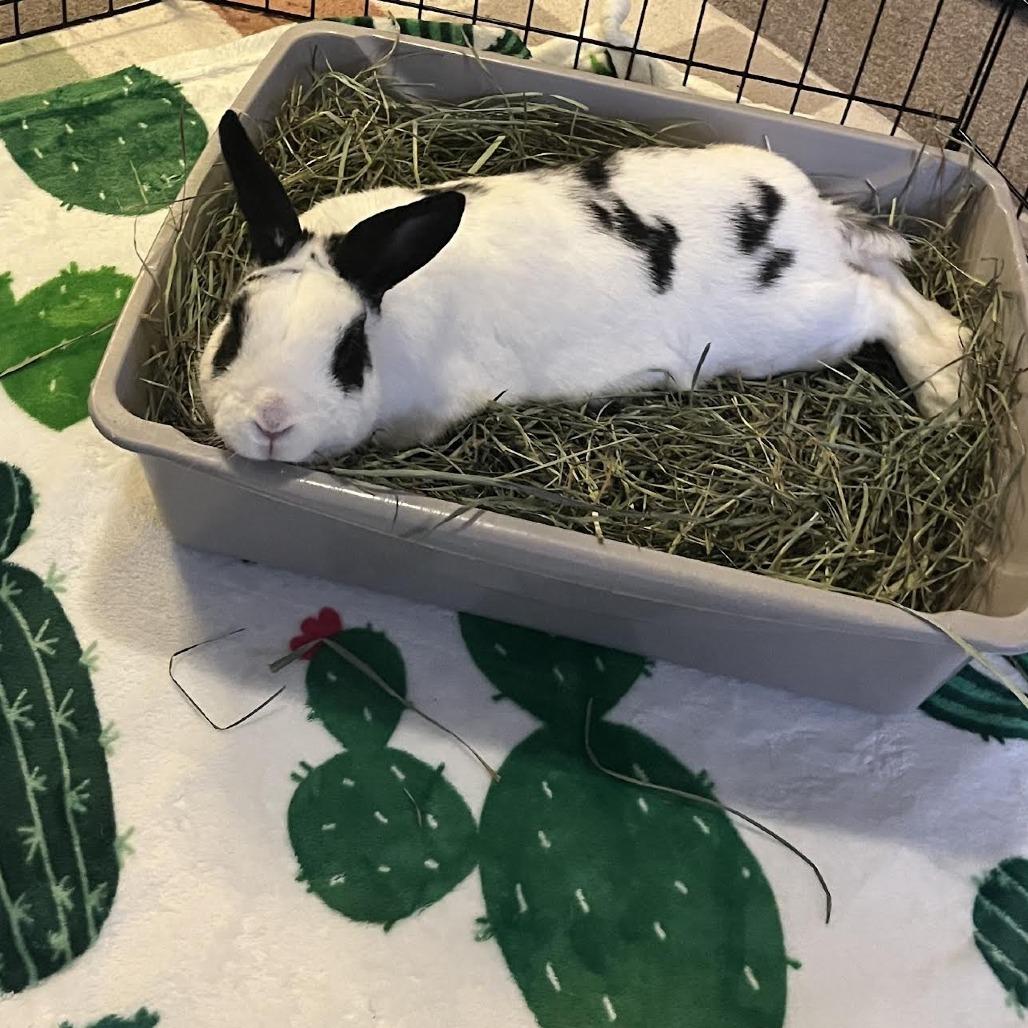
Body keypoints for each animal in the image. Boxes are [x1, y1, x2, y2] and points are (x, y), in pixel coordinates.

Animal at [199, 110, 965, 463]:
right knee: (901, 286)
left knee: (878, 304)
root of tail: (811, 215)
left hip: (799, 326)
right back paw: (952, 378)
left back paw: (945, 403)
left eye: (348, 351)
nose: (271, 421)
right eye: (234, 327)